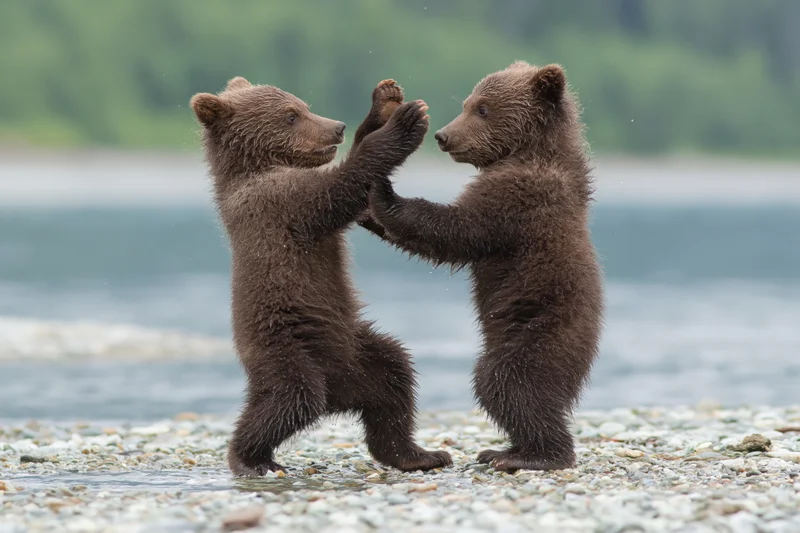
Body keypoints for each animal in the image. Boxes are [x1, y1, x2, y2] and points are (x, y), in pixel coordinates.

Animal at [189, 76, 452, 476]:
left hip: (359, 349)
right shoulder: (277, 203)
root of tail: (340, 395)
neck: (258, 167)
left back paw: (419, 454)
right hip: (287, 349)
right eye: (291, 115)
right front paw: (406, 122)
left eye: (304, 106)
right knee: (290, 400)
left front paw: (384, 102)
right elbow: (336, 191)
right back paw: (249, 458)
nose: (336, 127)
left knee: (396, 378)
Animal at [362, 62, 604, 472]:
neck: (528, 152)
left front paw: (384, 189)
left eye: (484, 109)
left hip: (541, 332)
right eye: (468, 103)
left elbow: (456, 230)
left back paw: (529, 455)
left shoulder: (516, 199)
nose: (443, 136)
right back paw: (510, 449)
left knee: (508, 385)